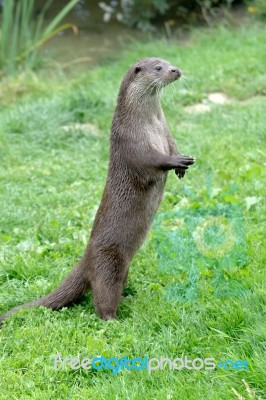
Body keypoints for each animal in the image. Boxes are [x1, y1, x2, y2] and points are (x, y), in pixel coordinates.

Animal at [0, 57, 195, 324]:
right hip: (109, 264)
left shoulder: (166, 132)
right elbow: (151, 160)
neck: (150, 122)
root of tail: (85, 260)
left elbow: (173, 145)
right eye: (158, 68)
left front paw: (181, 164)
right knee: (102, 298)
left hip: (124, 266)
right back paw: (114, 319)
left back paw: (128, 298)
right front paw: (177, 162)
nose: (176, 70)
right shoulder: (132, 142)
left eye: (169, 62)